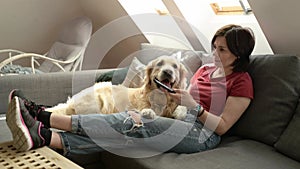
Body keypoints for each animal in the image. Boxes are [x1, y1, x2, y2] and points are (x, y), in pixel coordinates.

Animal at [45, 55, 188, 119]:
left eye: (175, 66)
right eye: (159, 64)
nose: (168, 72)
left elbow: (181, 109)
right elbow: (146, 109)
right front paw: (148, 112)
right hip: (105, 98)